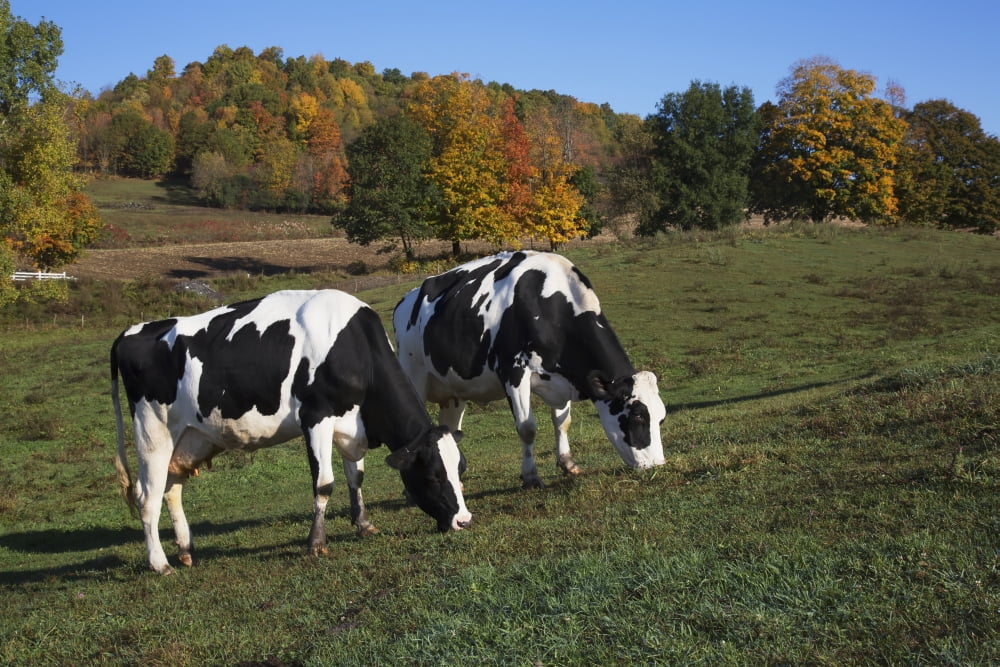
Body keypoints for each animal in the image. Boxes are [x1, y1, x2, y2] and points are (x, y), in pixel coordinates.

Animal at [111, 289, 472, 574]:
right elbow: (324, 484)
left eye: (461, 471)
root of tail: (132, 331)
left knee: (171, 489)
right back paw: (160, 563)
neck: (354, 348)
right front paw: (316, 543)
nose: (464, 521)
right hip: (152, 431)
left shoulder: (350, 424)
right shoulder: (316, 417)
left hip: (188, 437)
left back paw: (186, 550)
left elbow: (356, 476)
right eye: (434, 476)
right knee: (146, 496)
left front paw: (363, 524)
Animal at [393, 250, 666, 489]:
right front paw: (531, 477)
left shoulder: (561, 377)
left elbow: (562, 422)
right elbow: (527, 429)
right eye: (638, 416)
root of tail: (406, 299)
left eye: (661, 417)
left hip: (453, 391)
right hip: (413, 375)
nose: (657, 465)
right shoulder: (513, 372)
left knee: (449, 428)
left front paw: (567, 464)